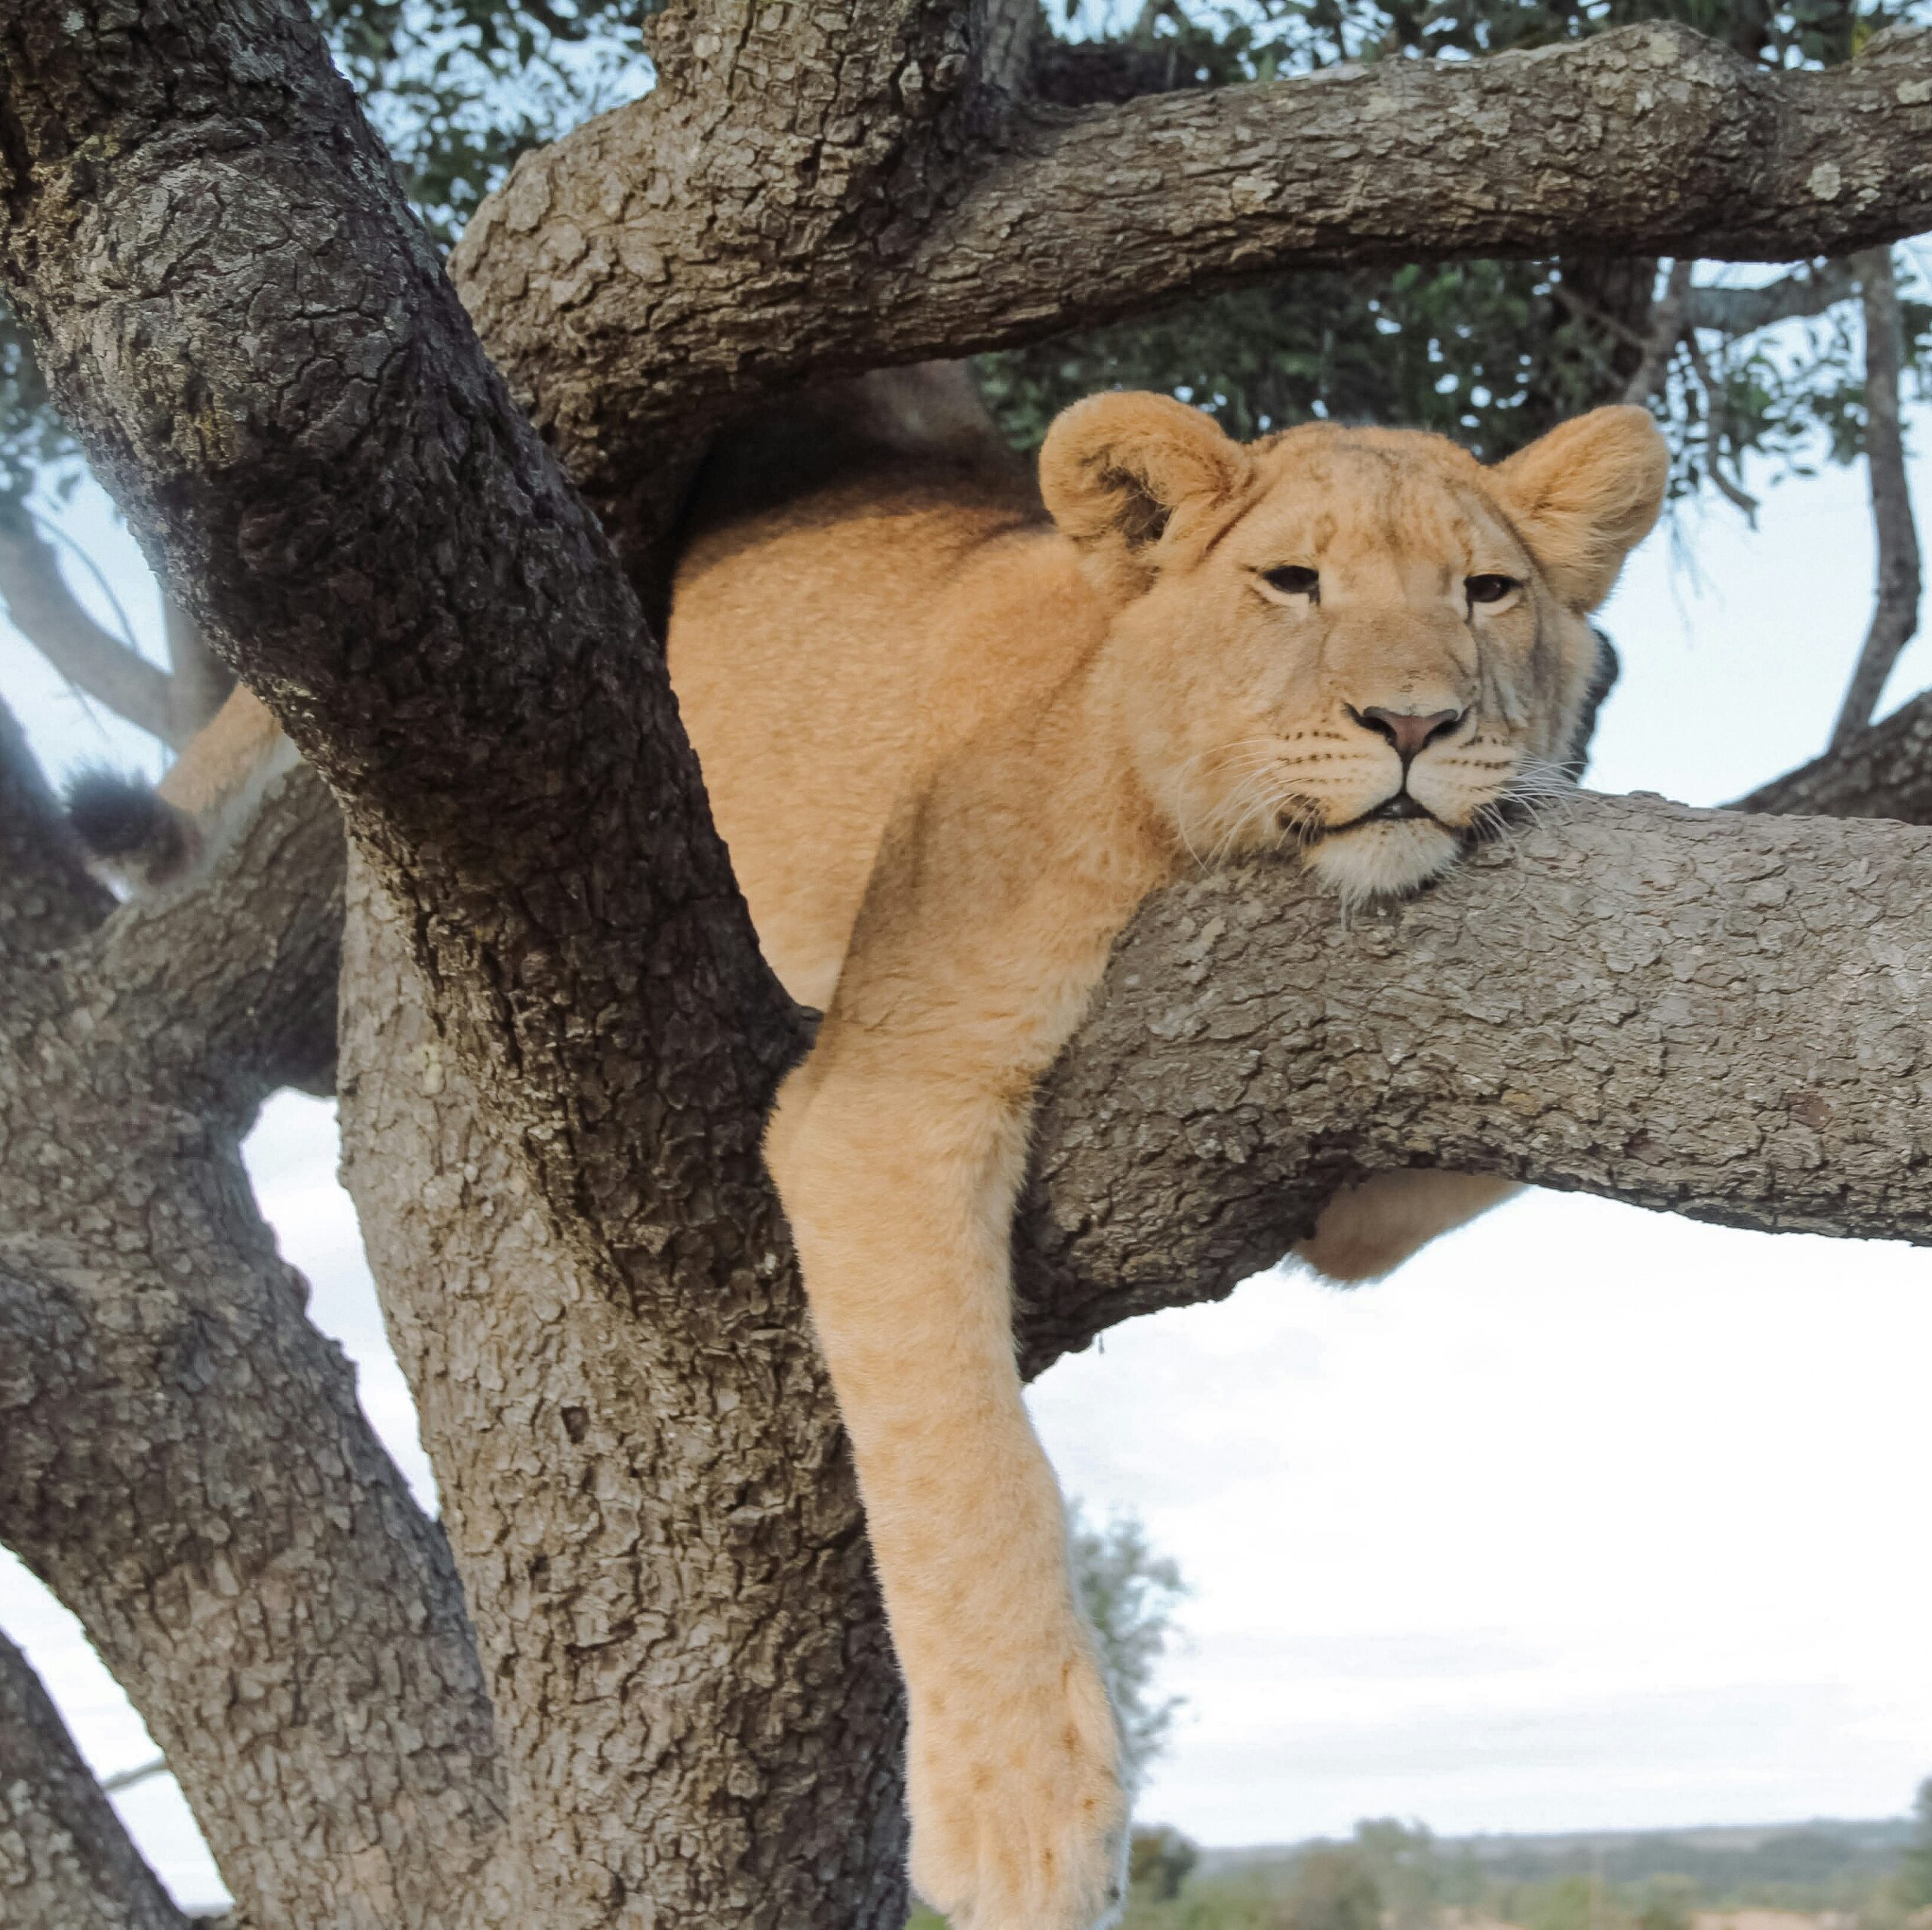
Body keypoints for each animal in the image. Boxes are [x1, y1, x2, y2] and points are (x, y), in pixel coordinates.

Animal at [72, 379, 1666, 1930]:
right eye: (1291, 582)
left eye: (1488, 591)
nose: (1416, 723)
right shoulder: (892, 1081)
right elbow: (965, 1467)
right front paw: (1021, 1814)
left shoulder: (1353, 1199)